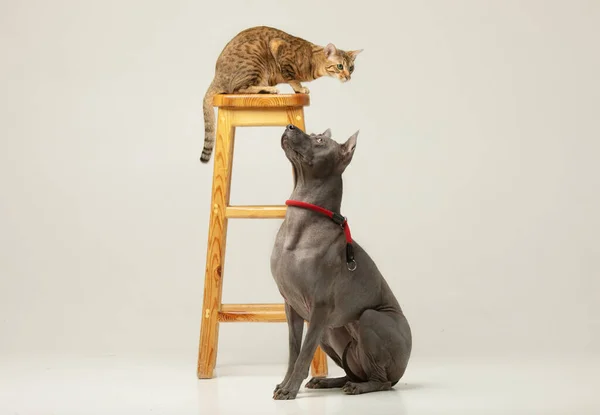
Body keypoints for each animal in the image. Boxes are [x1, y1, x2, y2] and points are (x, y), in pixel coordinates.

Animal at [200, 25, 360, 163]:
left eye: (351, 68)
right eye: (340, 66)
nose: (348, 77)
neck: (312, 60)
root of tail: (217, 77)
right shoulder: (278, 47)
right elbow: (291, 77)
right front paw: (300, 88)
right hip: (254, 63)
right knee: (239, 89)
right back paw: (268, 89)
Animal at [270, 124, 412, 400]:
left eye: (320, 140)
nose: (290, 126)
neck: (302, 222)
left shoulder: (319, 306)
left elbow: (304, 353)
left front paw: (290, 389)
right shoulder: (291, 306)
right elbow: (293, 352)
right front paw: (284, 384)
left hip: (368, 319)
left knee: (382, 381)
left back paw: (360, 387)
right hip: (331, 331)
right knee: (352, 373)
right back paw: (328, 381)